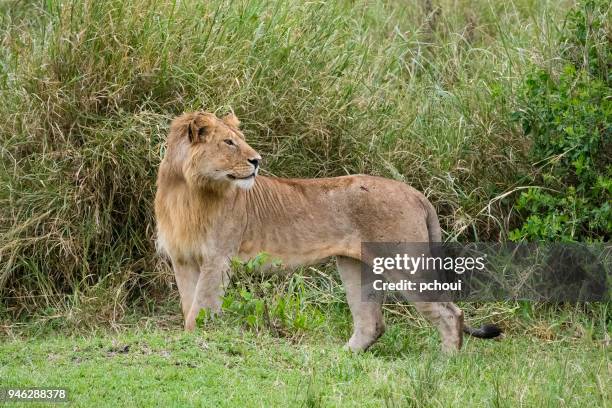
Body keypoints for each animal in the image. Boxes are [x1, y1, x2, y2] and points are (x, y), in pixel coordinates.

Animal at [154, 111, 502, 350]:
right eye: (228, 142)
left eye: (238, 139)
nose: (256, 160)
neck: (185, 189)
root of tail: (415, 193)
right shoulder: (183, 259)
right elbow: (188, 303)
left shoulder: (218, 258)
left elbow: (200, 307)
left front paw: (196, 340)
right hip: (356, 266)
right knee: (372, 323)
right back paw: (342, 355)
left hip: (405, 264)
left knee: (450, 313)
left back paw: (446, 361)